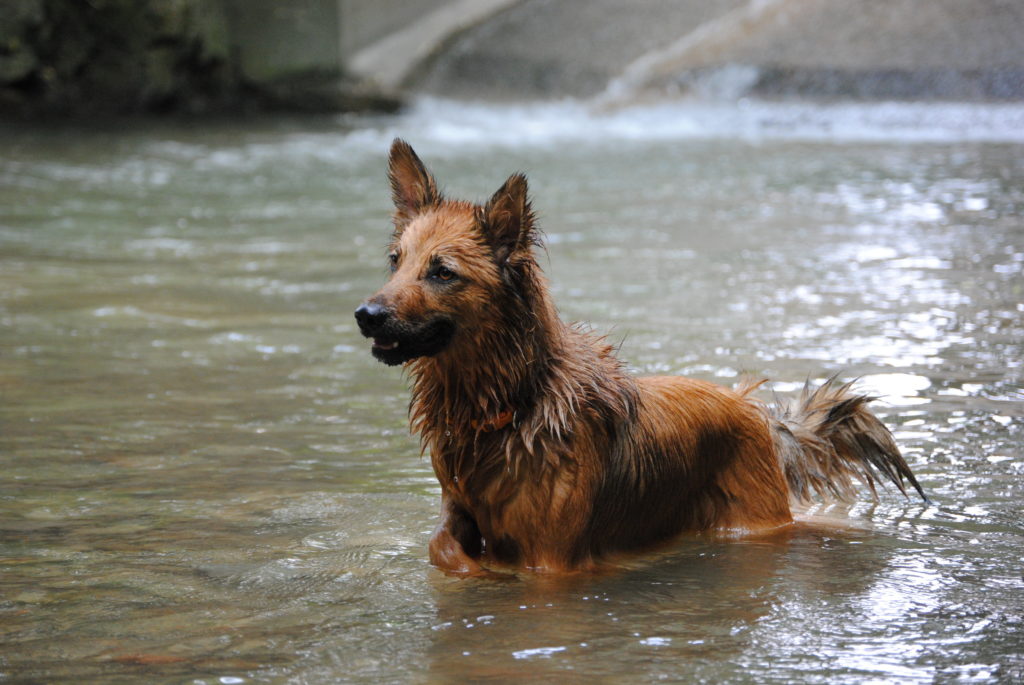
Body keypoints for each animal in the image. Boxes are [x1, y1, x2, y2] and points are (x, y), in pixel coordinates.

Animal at [356, 137, 925, 573]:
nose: (366, 314)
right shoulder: (460, 505)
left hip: (753, 524)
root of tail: (753, 410)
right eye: (396, 261)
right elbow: (444, 544)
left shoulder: (551, 564)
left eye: (442, 272)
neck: (510, 402)